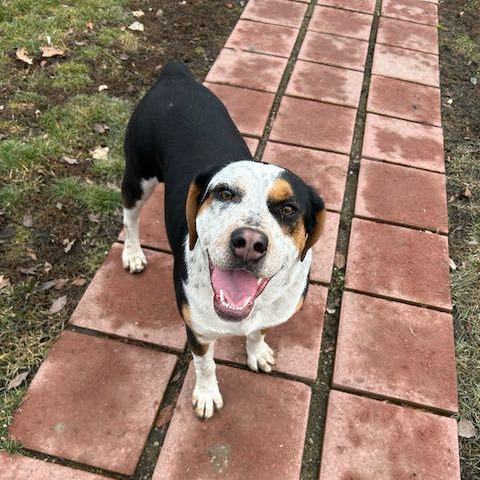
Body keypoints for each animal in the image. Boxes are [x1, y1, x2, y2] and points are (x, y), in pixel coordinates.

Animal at [120, 62, 326, 418]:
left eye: (288, 208)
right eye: (224, 193)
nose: (249, 242)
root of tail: (174, 73)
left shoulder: (270, 316)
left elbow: (258, 332)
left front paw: (257, 352)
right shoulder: (199, 331)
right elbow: (205, 364)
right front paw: (206, 395)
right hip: (138, 177)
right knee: (129, 218)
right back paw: (132, 254)